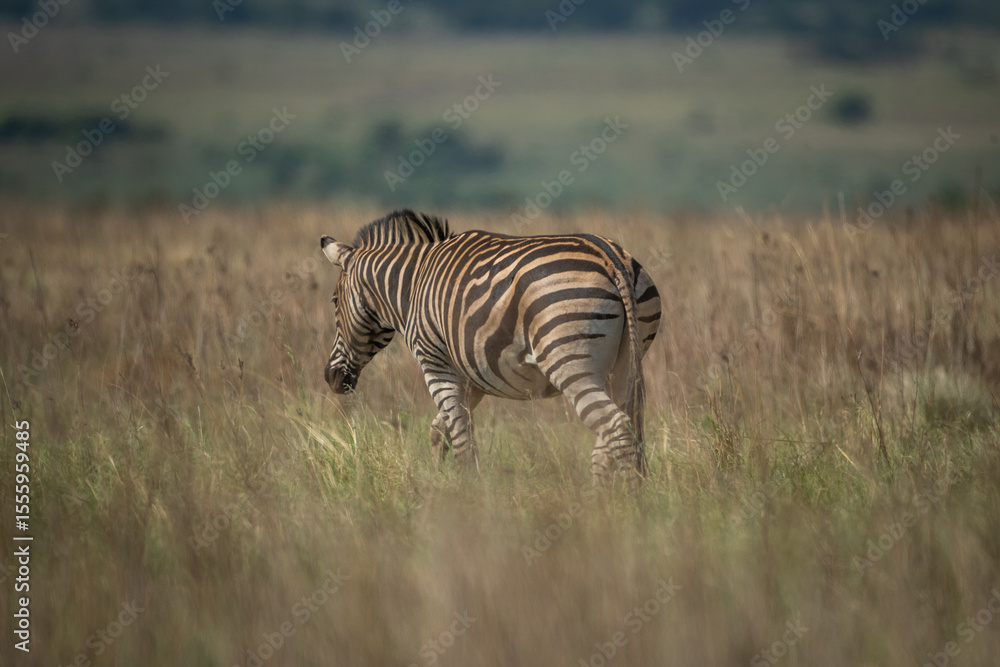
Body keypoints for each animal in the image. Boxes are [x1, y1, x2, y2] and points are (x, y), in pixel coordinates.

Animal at [320, 209, 661, 483]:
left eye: (334, 301)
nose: (331, 378)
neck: (413, 284)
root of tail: (611, 258)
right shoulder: (470, 378)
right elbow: (440, 431)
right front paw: (440, 486)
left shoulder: (436, 363)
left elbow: (459, 437)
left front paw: (468, 494)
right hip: (621, 366)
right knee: (615, 432)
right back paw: (600, 505)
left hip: (569, 363)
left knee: (616, 427)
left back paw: (627, 508)